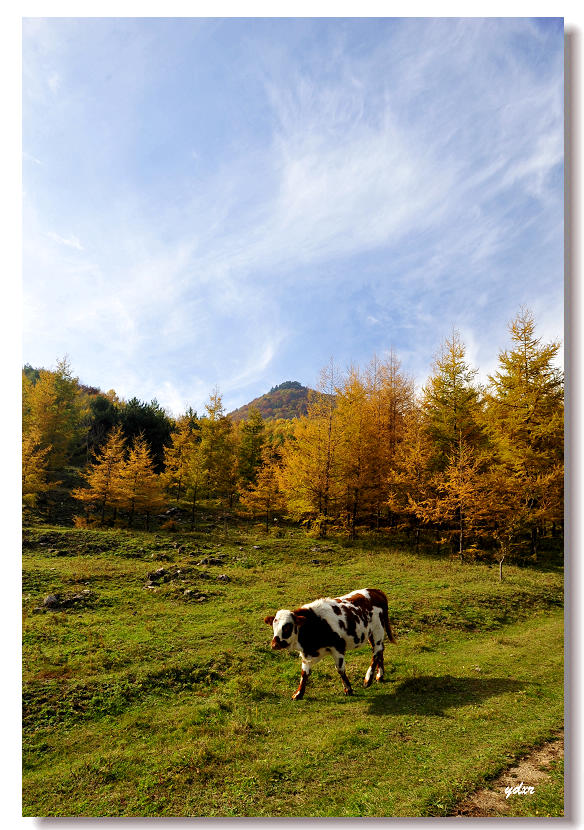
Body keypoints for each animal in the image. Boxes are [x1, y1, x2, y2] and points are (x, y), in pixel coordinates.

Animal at [264, 588, 396, 700]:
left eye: (287, 627)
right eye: (274, 626)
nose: (274, 644)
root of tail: (376, 591)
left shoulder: (338, 648)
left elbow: (340, 669)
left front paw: (348, 689)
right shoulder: (307, 654)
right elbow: (304, 673)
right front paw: (299, 693)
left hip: (377, 631)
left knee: (376, 652)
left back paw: (368, 679)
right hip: (371, 635)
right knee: (380, 650)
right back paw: (380, 675)